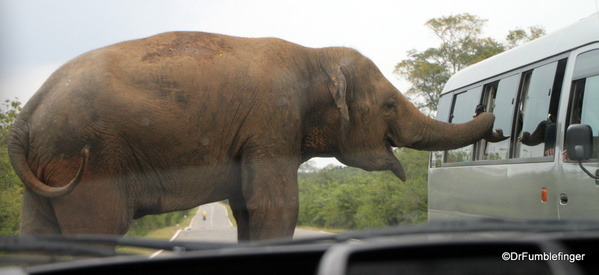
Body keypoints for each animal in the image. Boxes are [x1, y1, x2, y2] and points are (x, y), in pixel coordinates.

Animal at [9, 30, 506, 242]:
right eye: (387, 106)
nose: (491, 113)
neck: (313, 54)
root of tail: (27, 111)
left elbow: (247, 209)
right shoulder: (273, 121)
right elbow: (274, 208)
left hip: (49, 165)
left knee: (39, 232)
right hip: (87, 160)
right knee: (98, 228)